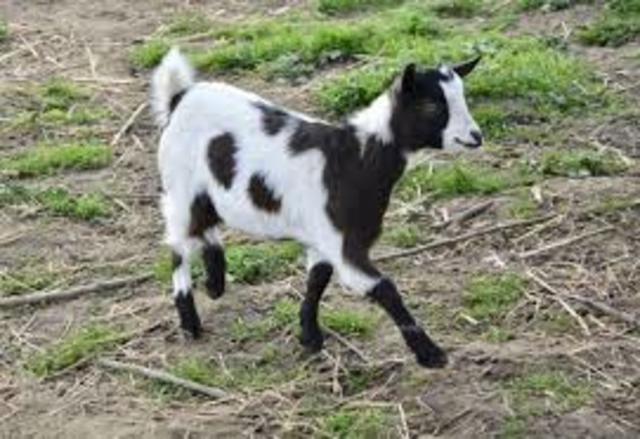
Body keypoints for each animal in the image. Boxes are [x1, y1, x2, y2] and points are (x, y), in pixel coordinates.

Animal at [152, 48, 482, 368]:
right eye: (431, 107)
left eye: (463, 97)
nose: (476, 137)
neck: (356, 158)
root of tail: (180, 96)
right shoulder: (343, 243)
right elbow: (385, 288)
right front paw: (431, 354)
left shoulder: (324, 238)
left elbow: (317, 281)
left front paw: (310, 338)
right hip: (179, 188)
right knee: (179, 247)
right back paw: (190, 323)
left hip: (205, 193)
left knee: (204, 227)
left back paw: (215, 283)